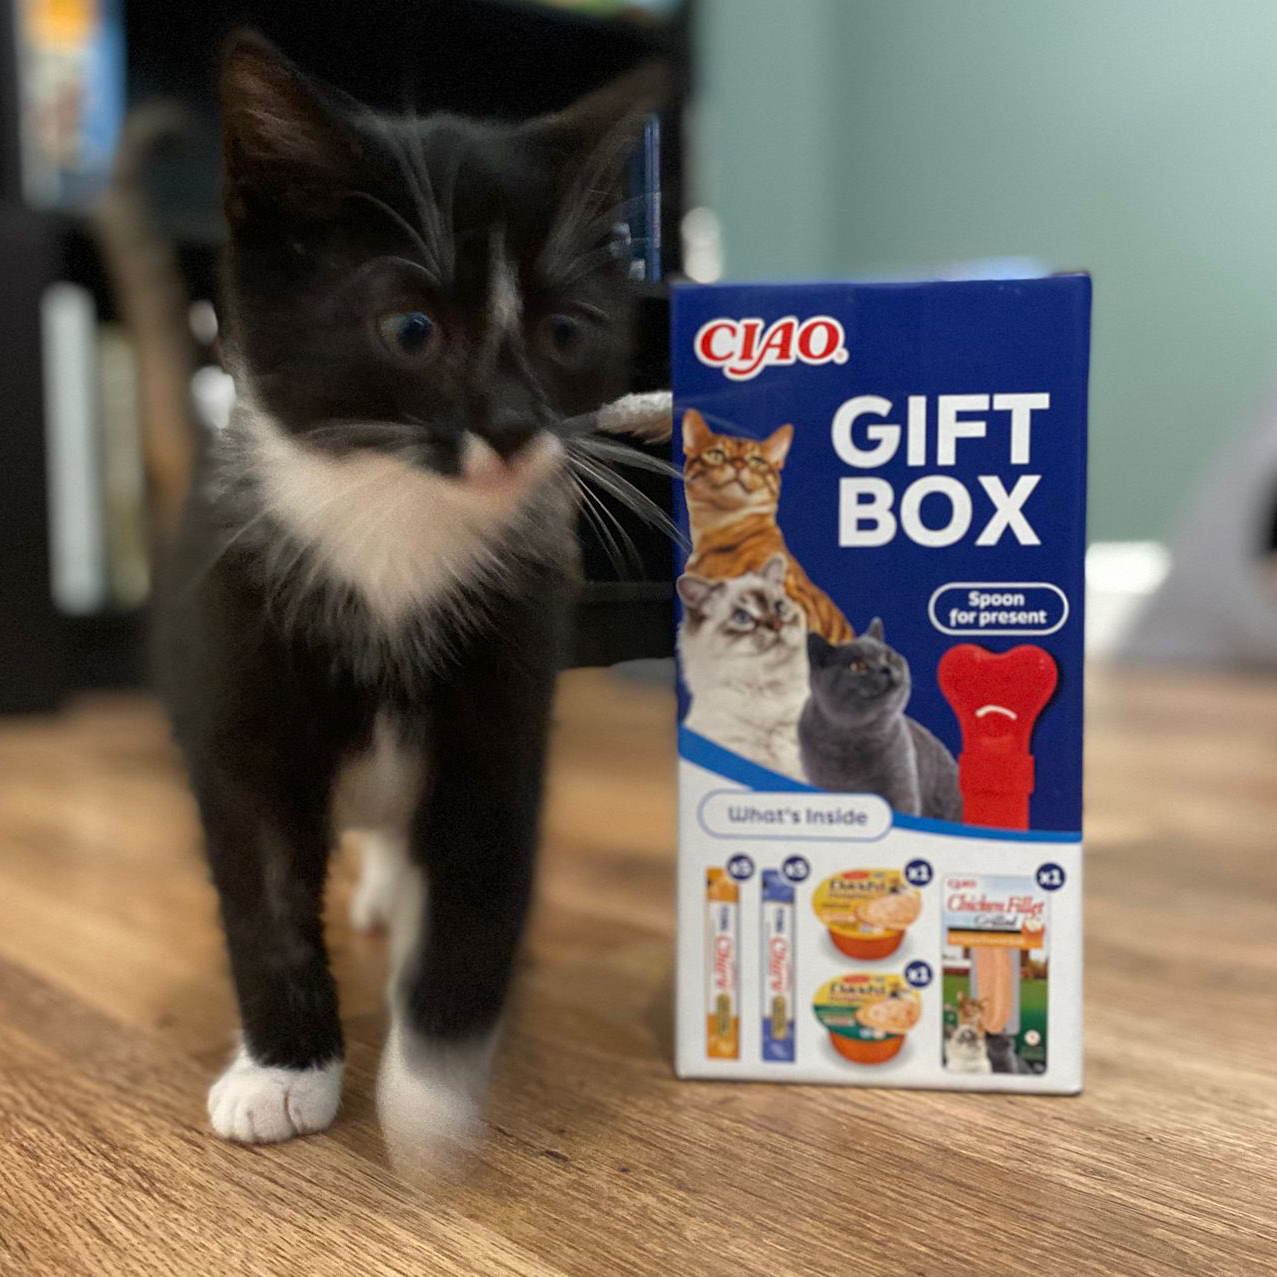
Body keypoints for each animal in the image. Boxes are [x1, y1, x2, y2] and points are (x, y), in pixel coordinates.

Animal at [155, 32, 669, 1163]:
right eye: (409, 327)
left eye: (567, 332)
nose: (514, 425)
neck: (396, 516)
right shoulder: (235, 668)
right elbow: (262, 888)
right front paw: (284, 1070)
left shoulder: (510, 674)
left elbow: (480, 871)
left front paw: (430, 1086)